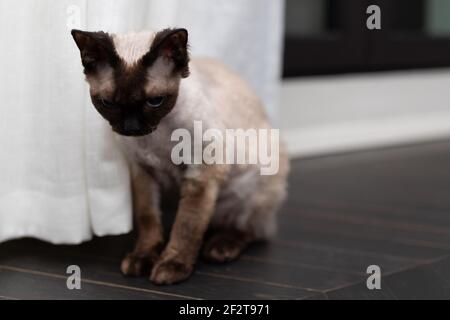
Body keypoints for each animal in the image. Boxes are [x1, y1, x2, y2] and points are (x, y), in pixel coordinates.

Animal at [70, 28, 288, 284]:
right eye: (108, 103)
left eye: (155, 101)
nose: (132, 128)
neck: (154, 138)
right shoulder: (143, 173)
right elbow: (148, 219)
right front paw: (143, 257)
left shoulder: (202, 173)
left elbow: (187, 224)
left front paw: (172, 265)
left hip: (253, 187)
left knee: (252, 229)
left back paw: (220, 247)